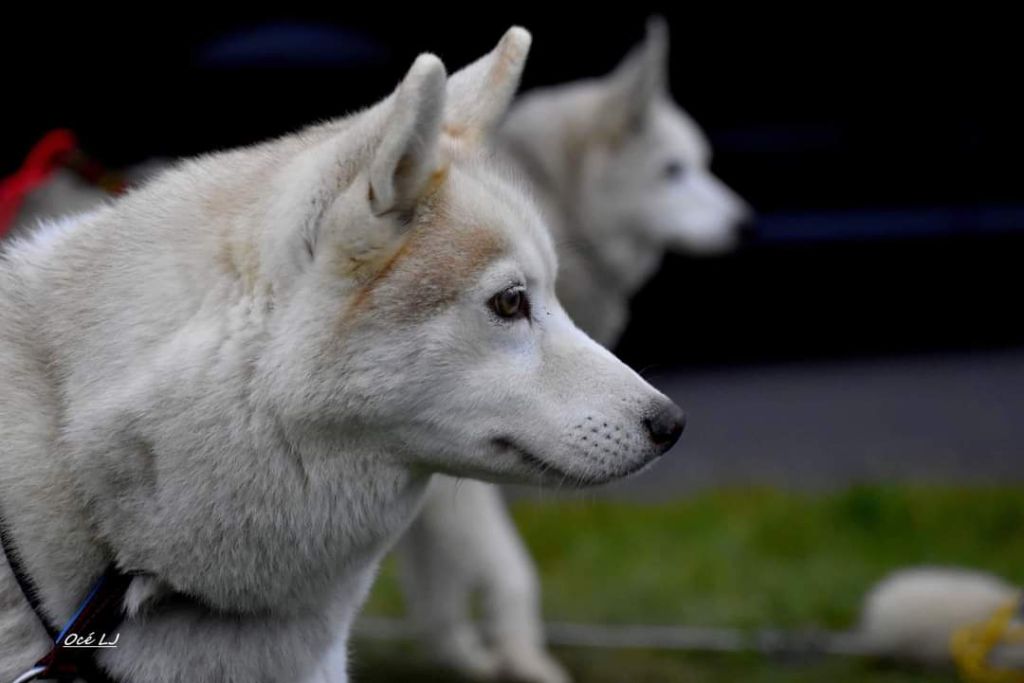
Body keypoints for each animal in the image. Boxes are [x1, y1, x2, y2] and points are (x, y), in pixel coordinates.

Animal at [399, 17, 753, 683]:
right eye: (673, 170)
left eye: (702, 164)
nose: (748, 225)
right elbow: (509, 573)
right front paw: (523, 659)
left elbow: (440, 583)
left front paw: (460, 656)